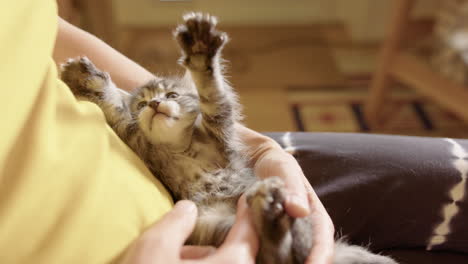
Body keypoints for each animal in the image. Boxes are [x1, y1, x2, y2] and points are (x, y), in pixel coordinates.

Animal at [60, 12, 398, 264]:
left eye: (171, 95)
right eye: (142, 104)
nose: (155, 104)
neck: (180, 147)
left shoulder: (219, 128)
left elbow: (212, 94)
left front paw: (200, 54)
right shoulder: (137, 141)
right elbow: (114, 110)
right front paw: (89, 80)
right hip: (216, 226)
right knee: (280, 257)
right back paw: (271, 216)